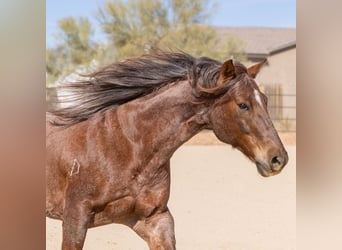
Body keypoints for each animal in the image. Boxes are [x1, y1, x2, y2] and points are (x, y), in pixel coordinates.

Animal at [46, 51, 288, 249]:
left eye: (265, 100)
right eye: (243, 104)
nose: (278, 159)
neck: (126, 146)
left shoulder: (155, 220)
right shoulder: (75, 217)